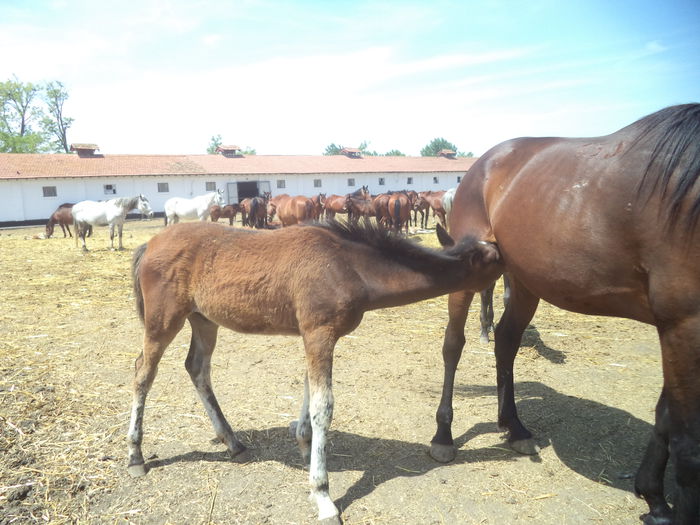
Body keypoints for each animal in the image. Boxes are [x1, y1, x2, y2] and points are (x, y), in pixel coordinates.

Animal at [130, 220, 504, 520]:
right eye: (496, 260)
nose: (511, 269)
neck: (349, 265)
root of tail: (150, 244)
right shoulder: (319, 332)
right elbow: (324, 406)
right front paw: (322, 495)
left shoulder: (315, 336)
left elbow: (310, 393)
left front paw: (304, 443)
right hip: (163, 320)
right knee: (142, 373)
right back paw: (136, 456)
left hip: (204, 320)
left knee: (197, 368)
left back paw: (233, 442)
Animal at [432, 104, 700, 520]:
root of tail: (482, 165)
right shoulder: (683, 323)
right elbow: (688, 445)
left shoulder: (675, 327)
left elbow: (667, 415)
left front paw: (654, 499)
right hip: (469, 272)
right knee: (453, 345)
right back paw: (443, 435)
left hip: (522, 277)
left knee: (506, 341)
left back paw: (515, 428)